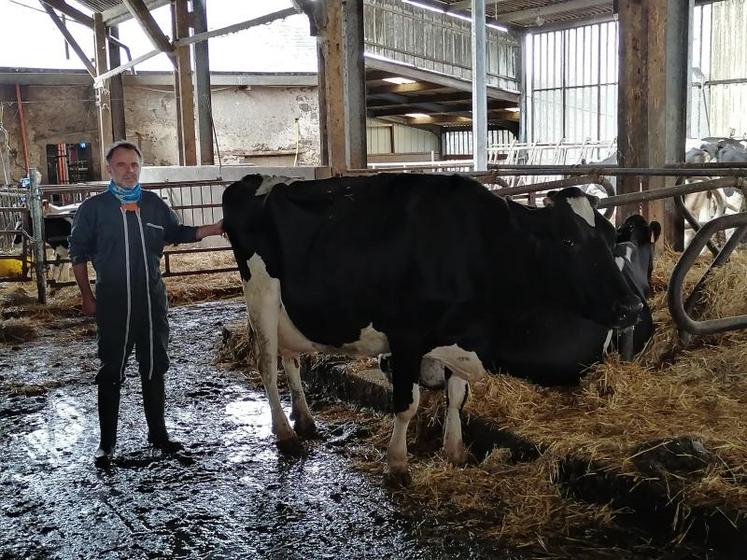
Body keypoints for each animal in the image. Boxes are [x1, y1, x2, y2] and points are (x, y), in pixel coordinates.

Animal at [224, 172, 644, 476]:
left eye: (611, 236)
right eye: (569, 241)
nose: (632, 306)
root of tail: (254, 180)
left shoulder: (458, 333)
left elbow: (455, 396)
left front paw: (455, 451)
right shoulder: (407, 336)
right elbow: (406, 404)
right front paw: (397, 464)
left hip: (289, 312)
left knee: (291, 359)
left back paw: (305, 420)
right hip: (261, 295)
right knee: (267, 364)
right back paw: (285, 434)